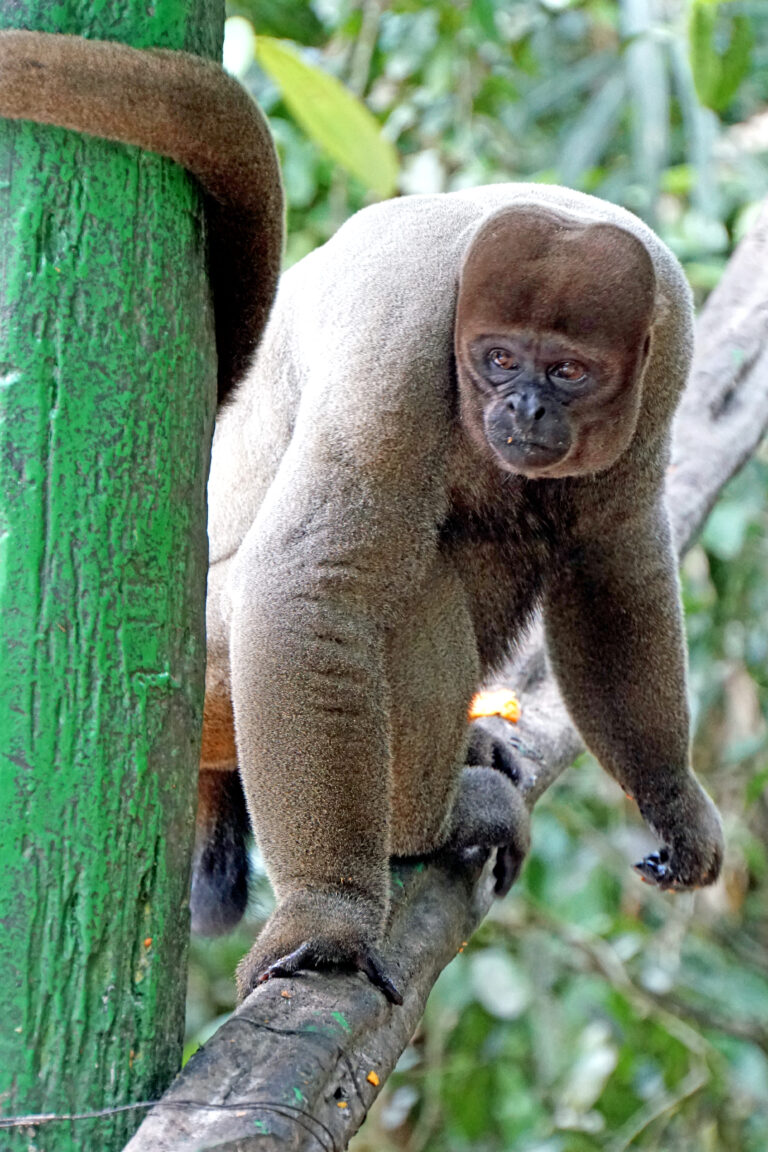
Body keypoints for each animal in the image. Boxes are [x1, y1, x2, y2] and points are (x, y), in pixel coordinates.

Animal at [0, 34, 723, 1007]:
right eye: (498, 360)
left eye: (569, 371)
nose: (523, 409)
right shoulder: (401, 348)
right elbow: (307, 586)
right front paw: (327, 917)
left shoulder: (669, 340)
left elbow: (610, 566)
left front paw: (672, 795)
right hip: (202, 668)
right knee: (406, 589)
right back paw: (428, 828)